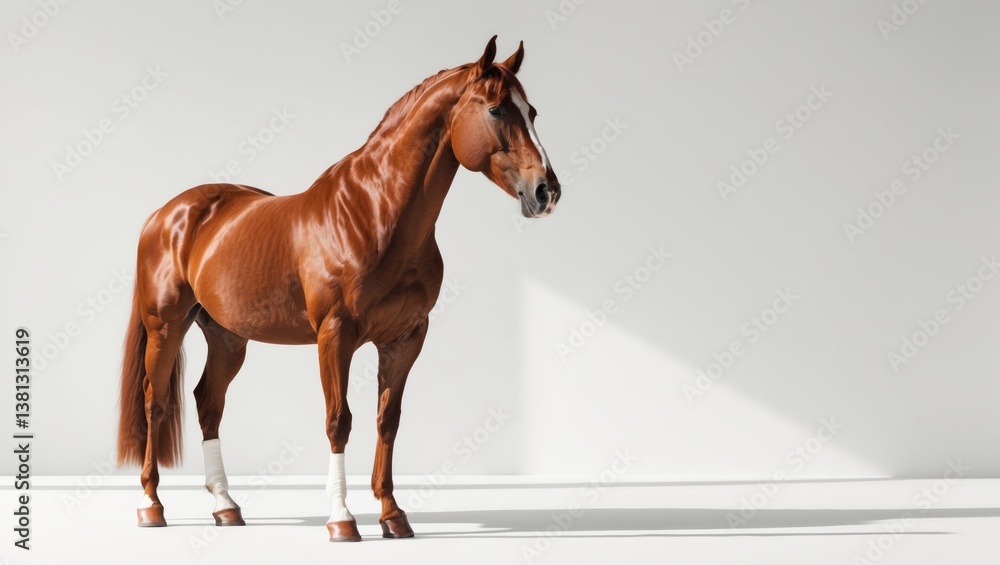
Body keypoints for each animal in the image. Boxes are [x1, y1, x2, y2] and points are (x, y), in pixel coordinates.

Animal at [115, 36, 560, 542]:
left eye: (532, 111)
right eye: (496, 110)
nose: (546, 191)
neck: (374, 213)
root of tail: (166, 214)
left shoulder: (406, 338)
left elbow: (388, 420)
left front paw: (392, 515)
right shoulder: (335, 334)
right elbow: (338, 421)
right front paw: (342, 519)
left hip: (227, 337)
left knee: (208, 404)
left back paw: (226, 507)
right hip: (166, 326)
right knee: (155, 404)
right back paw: (151, 506)